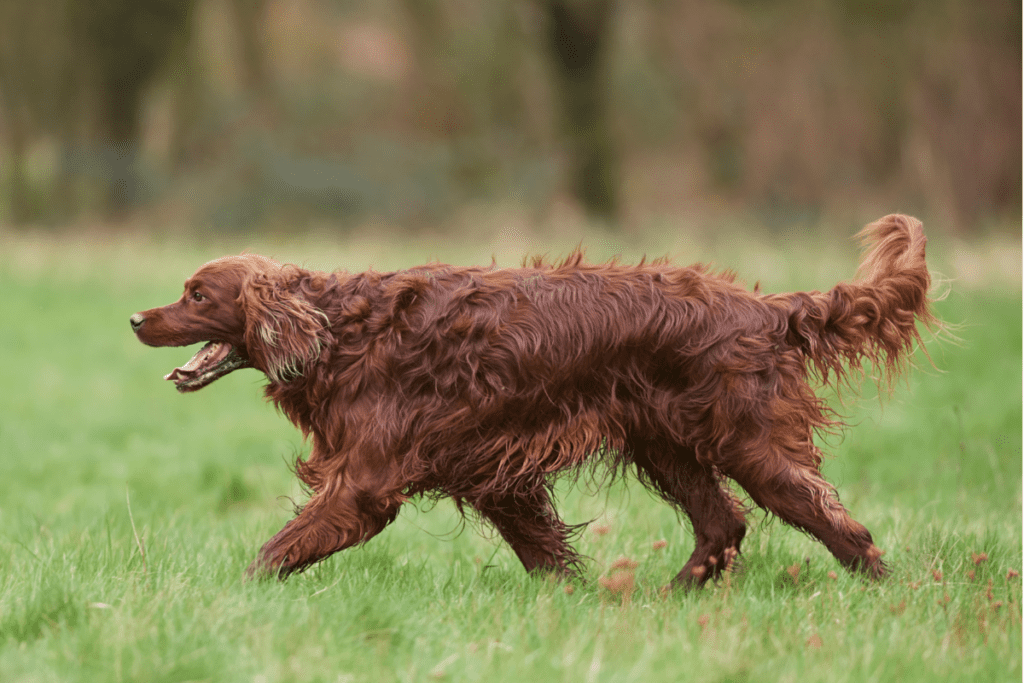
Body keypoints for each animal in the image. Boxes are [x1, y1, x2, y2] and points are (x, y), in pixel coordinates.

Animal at [132, 215, 933, 589]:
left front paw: (230, 597)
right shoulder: (494, 475)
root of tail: (767, 309)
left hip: (749, 442)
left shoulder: (364, 482)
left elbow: (276, 549)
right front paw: (577, 600)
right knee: (723, 524)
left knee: (839, 525)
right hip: (667, 447)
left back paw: (885, 595)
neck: (339, 330)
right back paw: (667, 598)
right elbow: (545, 552)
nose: (137, 318)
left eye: (197, 294)